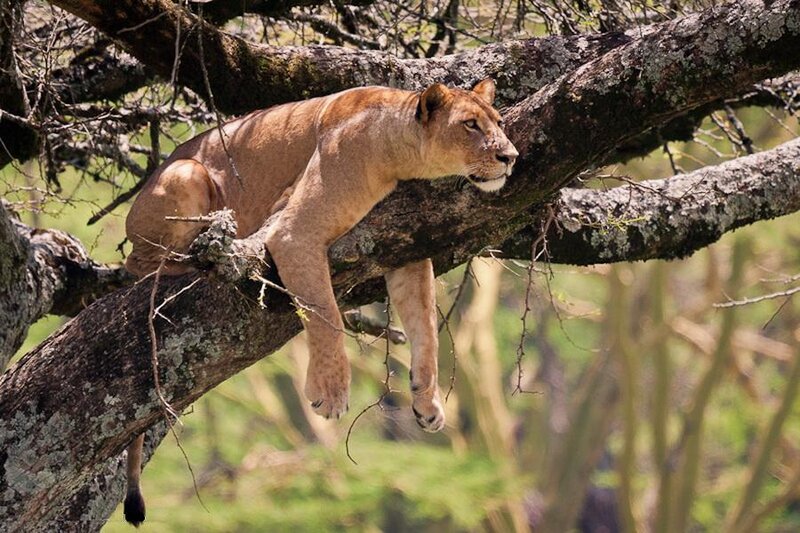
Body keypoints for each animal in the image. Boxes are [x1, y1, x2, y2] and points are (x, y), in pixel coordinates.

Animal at [122, 79, 517, 526]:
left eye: (498, 122)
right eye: (470, 125)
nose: (511, 157)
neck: (396, 148)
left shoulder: (406, 248)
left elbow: (426, 330)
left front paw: (426, 399)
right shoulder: (295, 233)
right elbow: (325, 312)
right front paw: (330, 391)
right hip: (188, 174)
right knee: (141, 263)